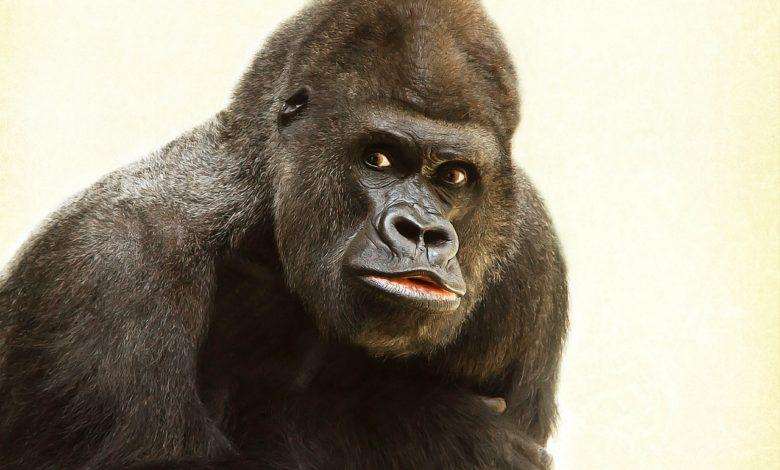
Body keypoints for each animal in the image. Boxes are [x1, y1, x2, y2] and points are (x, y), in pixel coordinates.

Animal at [0, 0, 567, 468]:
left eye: (454, 176)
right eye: (379, 158)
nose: (423, 232)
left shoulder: (531, 260)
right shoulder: (110, 265)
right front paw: (430, 430)